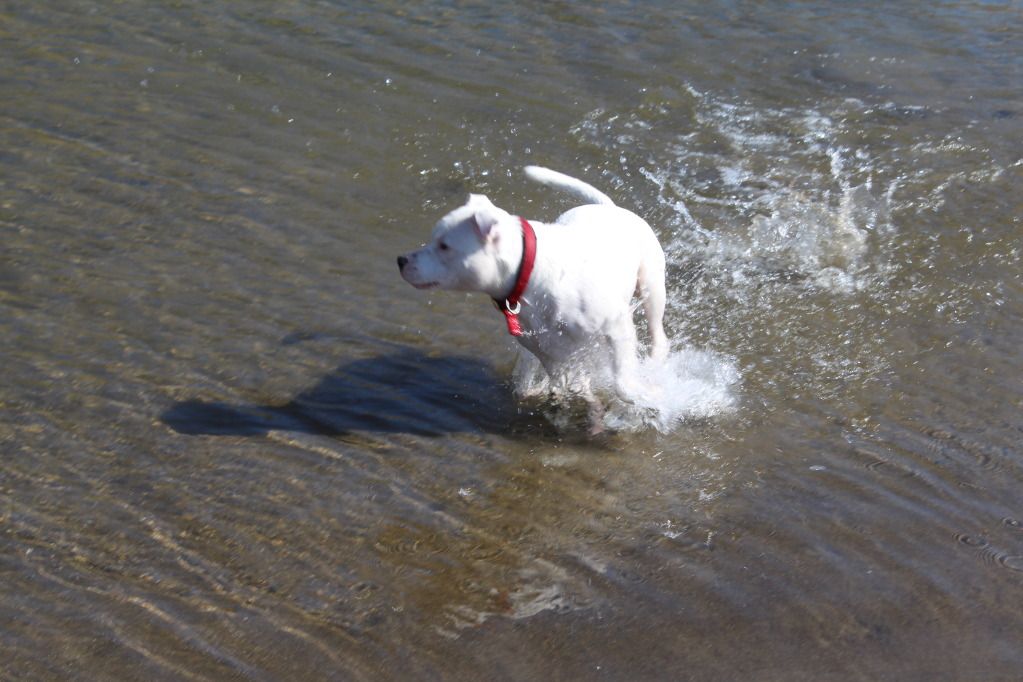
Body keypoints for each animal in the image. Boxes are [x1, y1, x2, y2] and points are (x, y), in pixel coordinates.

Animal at [394, 166, 666, 421]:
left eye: (444, 246)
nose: (401, 260)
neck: (531, 276)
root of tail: (608, 208)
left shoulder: (616, 327)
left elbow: (621, 383)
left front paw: (649, 395)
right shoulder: (552, 352)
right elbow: (572, 385)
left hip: (652, 285)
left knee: (658, 333)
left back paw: (656, 360)